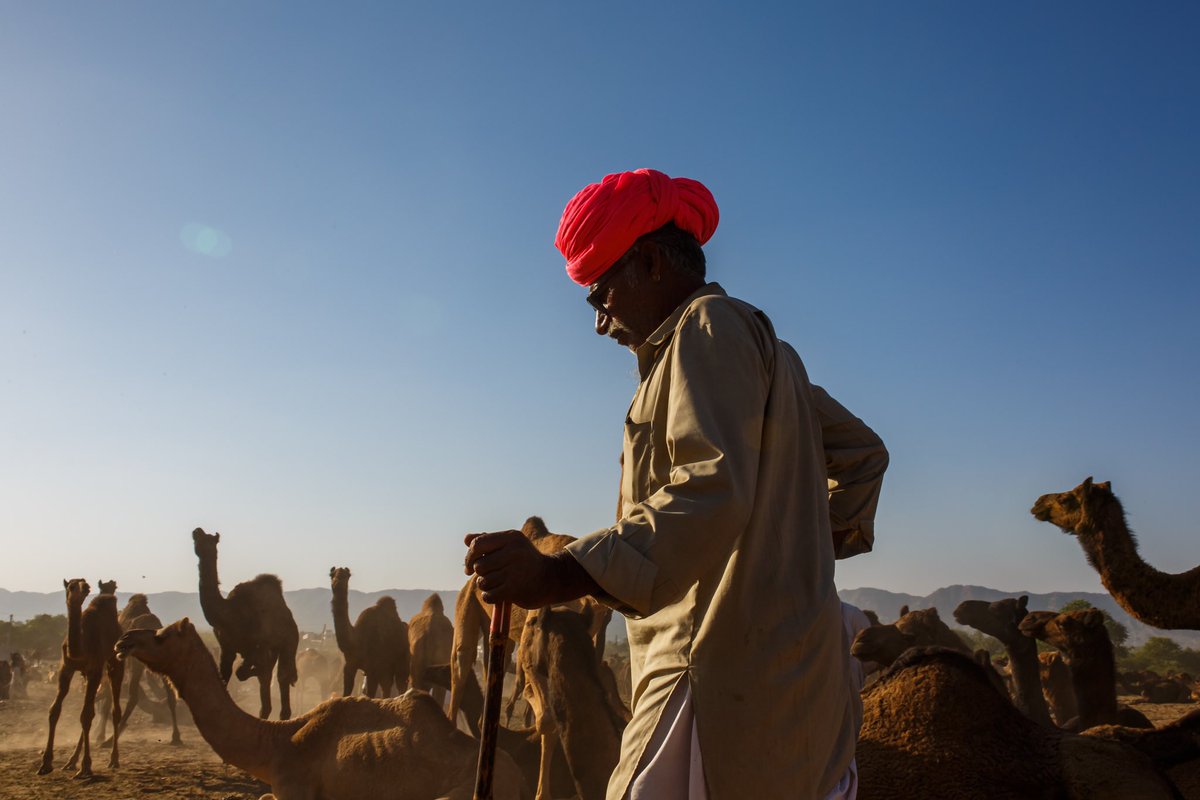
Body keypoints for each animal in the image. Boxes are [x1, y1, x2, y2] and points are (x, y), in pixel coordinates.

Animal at [38, 578, 124, 779]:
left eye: (85, 584)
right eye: (71, 585)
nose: (84, 588)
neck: (80, 648)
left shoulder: (95, 670)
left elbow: (86, 715)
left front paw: (86, 767)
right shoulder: (65, 668)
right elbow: (55, 711)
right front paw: (45, 763)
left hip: (114, 663)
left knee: (114, 710)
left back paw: (113, 760)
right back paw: (70, 761)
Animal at [193, 528, 299, 720]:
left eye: (210, 541)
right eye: (199, 539)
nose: (196, 531)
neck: (230, 614)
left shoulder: (259, 645)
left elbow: (243, 672)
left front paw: (251, 670)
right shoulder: (226, 648)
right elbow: (226, 676)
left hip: (290, 642)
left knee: (282, 676)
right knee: (266, 698)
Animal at [329, 567, 410, 698]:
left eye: (346, 576)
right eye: (331, 574)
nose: (337, 582)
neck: (356, 640)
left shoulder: (372, 668)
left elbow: (370, 694)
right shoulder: (349, 665)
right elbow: (346, 693)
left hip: (402, 662)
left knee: (400, 684)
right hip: (386, 667)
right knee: (387, 687)